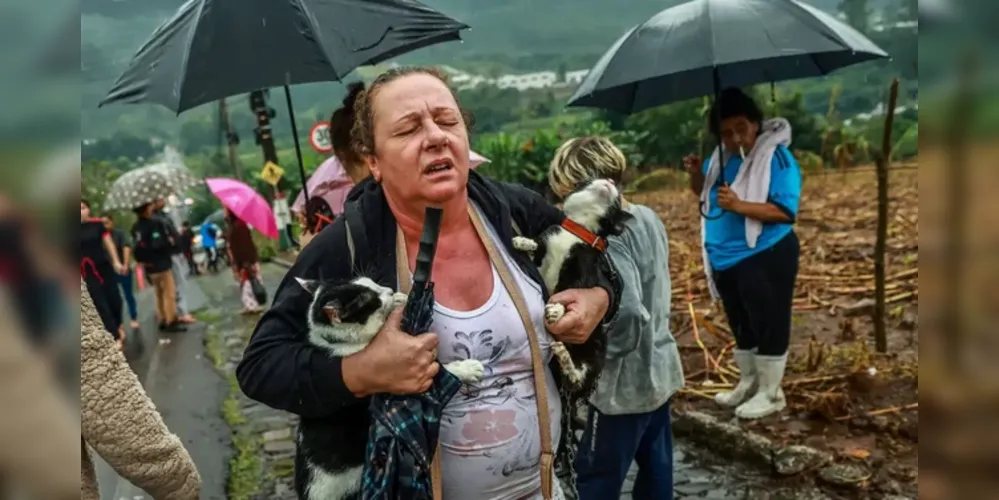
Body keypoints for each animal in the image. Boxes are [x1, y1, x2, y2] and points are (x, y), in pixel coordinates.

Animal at [292, 278, 484, 500]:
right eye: (371, 299)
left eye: (372, 282)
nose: (389, 290)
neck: (342, 343)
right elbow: (440, 372)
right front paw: (467, 368)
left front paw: (400, 299)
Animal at [516, 178, 632, 396]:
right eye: (588, 181)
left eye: (618, 199)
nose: (610, 180)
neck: (580, 230)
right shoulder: (546, 245)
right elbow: (537, 247)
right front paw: (523, 242)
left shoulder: (583, 270)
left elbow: (568, 291)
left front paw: (556, 309)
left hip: (595, 354)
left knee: (576, 378)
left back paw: (566, 359)